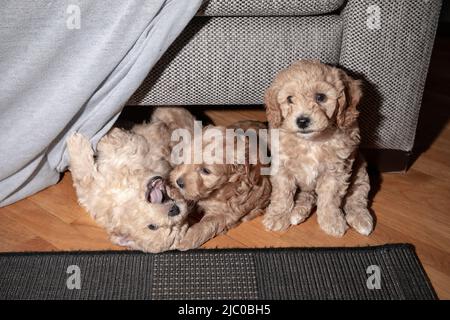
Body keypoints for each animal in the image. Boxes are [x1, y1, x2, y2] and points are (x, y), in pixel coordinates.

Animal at [66, 107, 195, 252]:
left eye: (173, 226)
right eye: (152, 227)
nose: (175, 211)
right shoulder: (93, 193)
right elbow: (85, 175)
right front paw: (84, 141)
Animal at [171, 121, 270, 249]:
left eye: (205, 171)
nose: (179, 182)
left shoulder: (225, 214)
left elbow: (206, 224)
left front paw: (186, 240)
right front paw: (173, 192)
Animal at [264, 59, 372, 238]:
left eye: (320, 97)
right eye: (290, 99)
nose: (302, 121)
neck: (311, 142)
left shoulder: (335, 171)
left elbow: (330, 198)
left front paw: (331, 221)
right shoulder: (282, 167)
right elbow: (282, 193)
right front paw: (278, 216)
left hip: (361, 172)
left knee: (356, 198)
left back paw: (362, 220)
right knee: (308, 196)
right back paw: (297, 213)